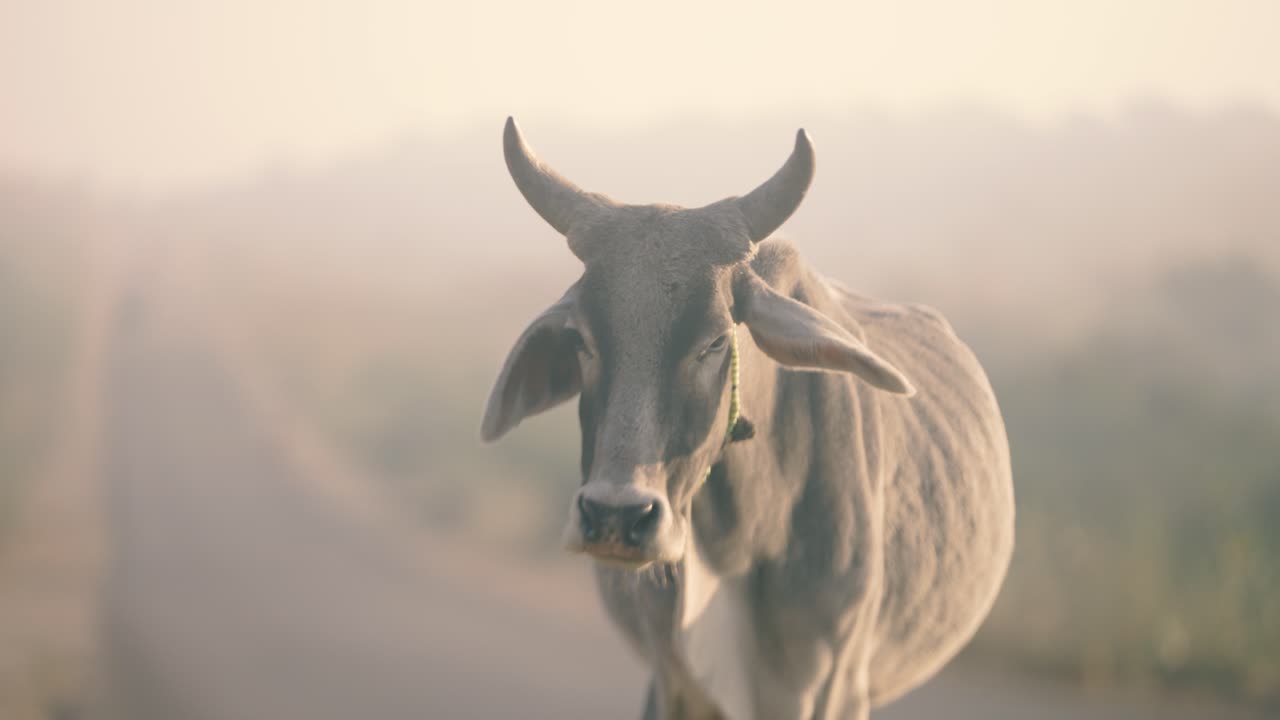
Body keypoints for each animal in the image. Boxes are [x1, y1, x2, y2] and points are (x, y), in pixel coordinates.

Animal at [481, 117, 1015, 720]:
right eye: (580, 339)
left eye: (716, 341)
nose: (616, 516)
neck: (737, 545)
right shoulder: (674, 682)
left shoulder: (830, 688)